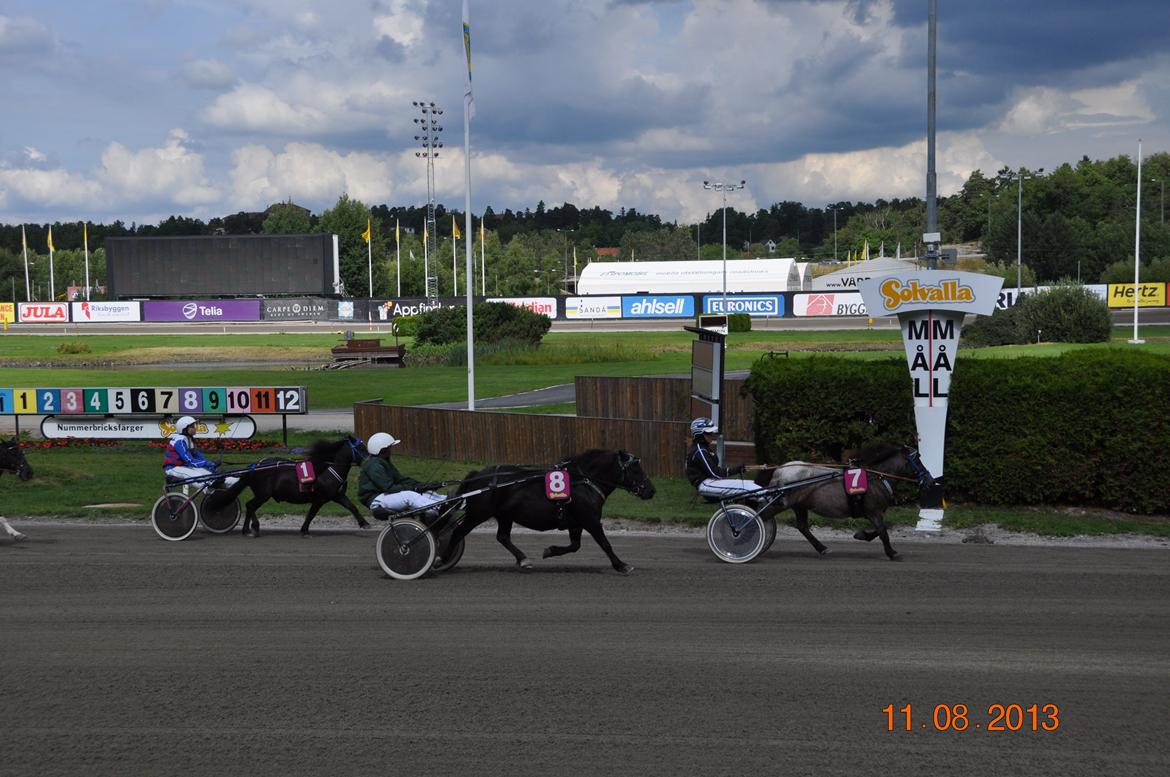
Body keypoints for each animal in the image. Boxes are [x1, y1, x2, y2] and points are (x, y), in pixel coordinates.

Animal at [205, 432, 367, 538]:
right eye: (361, 448)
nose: (369, 458)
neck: (327, 469)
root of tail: (254, 467)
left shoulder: (338, 495)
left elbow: (352, 507)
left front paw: (364, 523)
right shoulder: (319, 499)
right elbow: (311, 514)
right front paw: (304, 530)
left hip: (262, 494)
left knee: (250, 506)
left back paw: (247, 529)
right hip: (263, 494)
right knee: (250, 505)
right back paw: (254, 528)